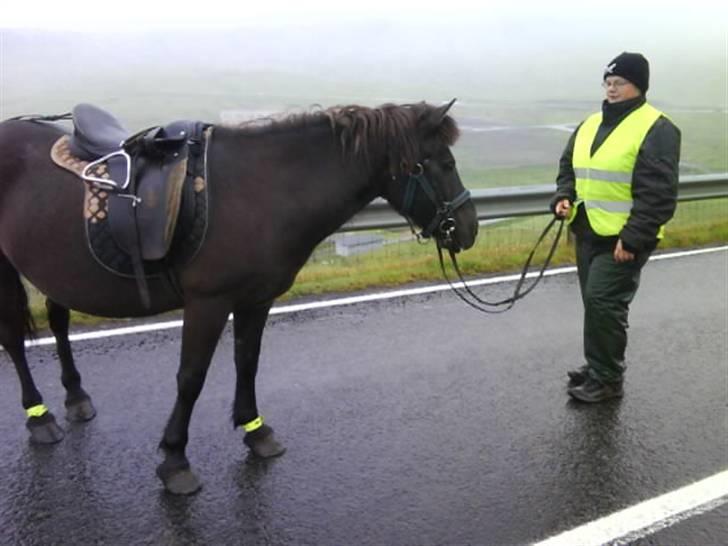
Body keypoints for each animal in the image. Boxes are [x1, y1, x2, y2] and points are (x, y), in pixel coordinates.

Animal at [0, 99, 478, 492]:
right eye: (442, 162)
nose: (469, 229)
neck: (258, 191)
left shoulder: (255, 299)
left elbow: (247, 361)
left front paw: (255, 430)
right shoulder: (208, 304)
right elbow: (191, 378)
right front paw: (175, 459)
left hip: (55, 269)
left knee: (58, 322)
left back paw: (76, 397)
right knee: (14, 342)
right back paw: (39, 416)